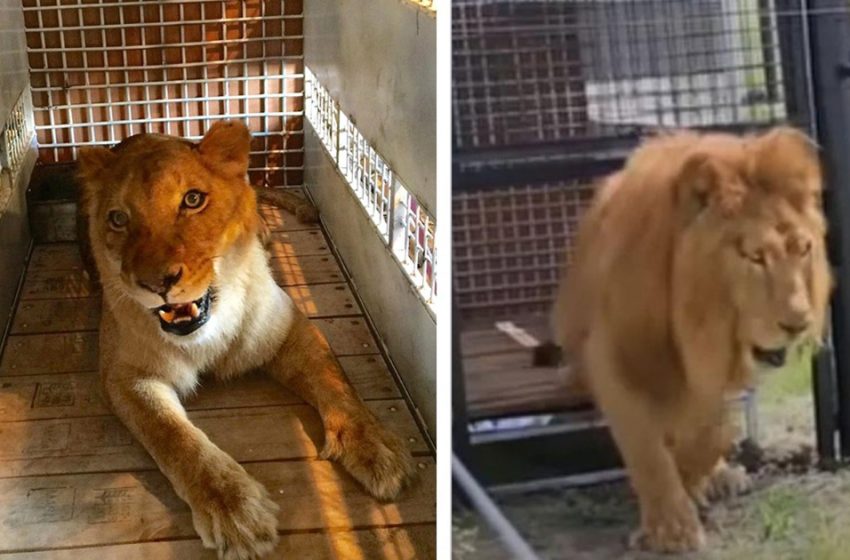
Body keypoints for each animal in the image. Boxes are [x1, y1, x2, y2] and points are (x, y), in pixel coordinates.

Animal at [78, 122, 416, 560]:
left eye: (192, 199)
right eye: (118, 219)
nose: (156, 284)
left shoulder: (287, 325)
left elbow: (336, 383)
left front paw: (379, 447)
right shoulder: (125, 375)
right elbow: (174, 438)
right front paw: (235, 512)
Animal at [548, 126, 828, 552]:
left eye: (804, 249)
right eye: (755, 256)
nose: (799, 323)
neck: (691, 322)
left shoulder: (711, 369)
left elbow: (712, 431)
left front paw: (695, 478)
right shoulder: (613, 353)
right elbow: (646, 448)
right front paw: (672, 528)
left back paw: (722, 477)